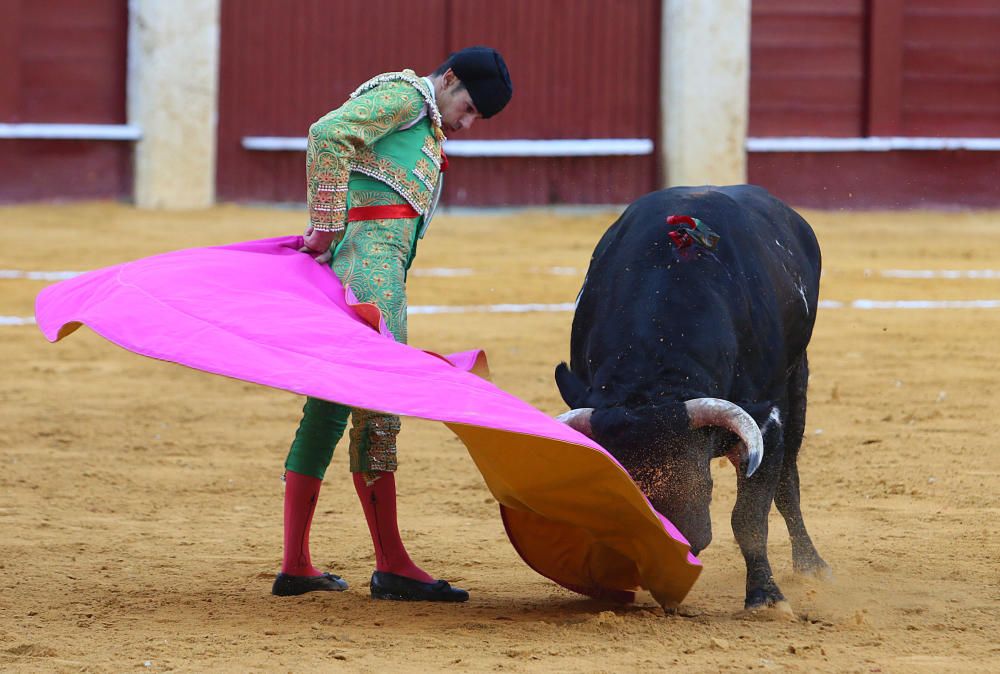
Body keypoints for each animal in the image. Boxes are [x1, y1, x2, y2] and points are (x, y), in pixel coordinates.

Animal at [556, 185, 828, 608]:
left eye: (700, 484)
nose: (654, 563)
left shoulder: (766, 421)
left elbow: (749, 518)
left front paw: (765, 597)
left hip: (797, 381)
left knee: (788, 483)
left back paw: (811, 564)